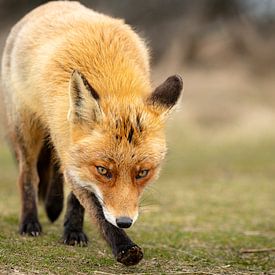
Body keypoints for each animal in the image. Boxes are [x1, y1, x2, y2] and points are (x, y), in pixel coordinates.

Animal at [1, 0, 184, 268]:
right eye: (103, 170)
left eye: (142, 173)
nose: (125, 222)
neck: (113, 79)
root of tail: (49, 5)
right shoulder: (77, 161)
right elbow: (97, 210)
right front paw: (124, 247)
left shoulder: (73, 154)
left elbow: (78, 201)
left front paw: (73, 231)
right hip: (27, 128)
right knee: (28, 175)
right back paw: (30, 221)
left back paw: (53, 206)